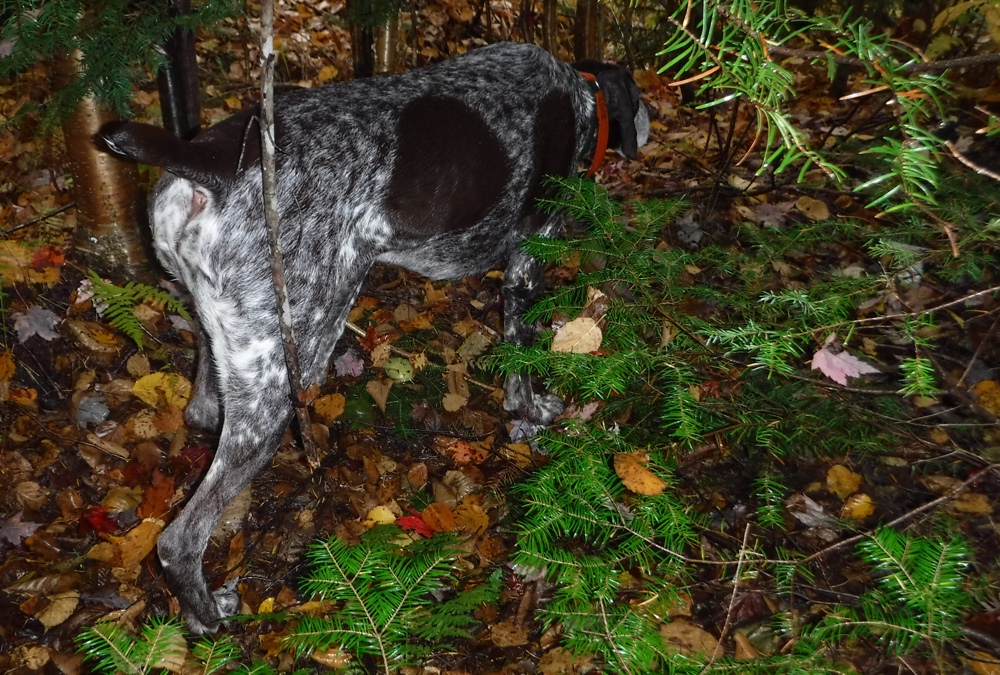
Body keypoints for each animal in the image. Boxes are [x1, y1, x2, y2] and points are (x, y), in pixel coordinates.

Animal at [97, 41, 652, 632]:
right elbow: (519, 358)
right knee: (179, 540)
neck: (580, 98)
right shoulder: (528, 260)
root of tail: (212, 157)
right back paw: (207, 614)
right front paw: (530, 413)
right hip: (283, 373)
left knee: (203, 412)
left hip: (226, 333)